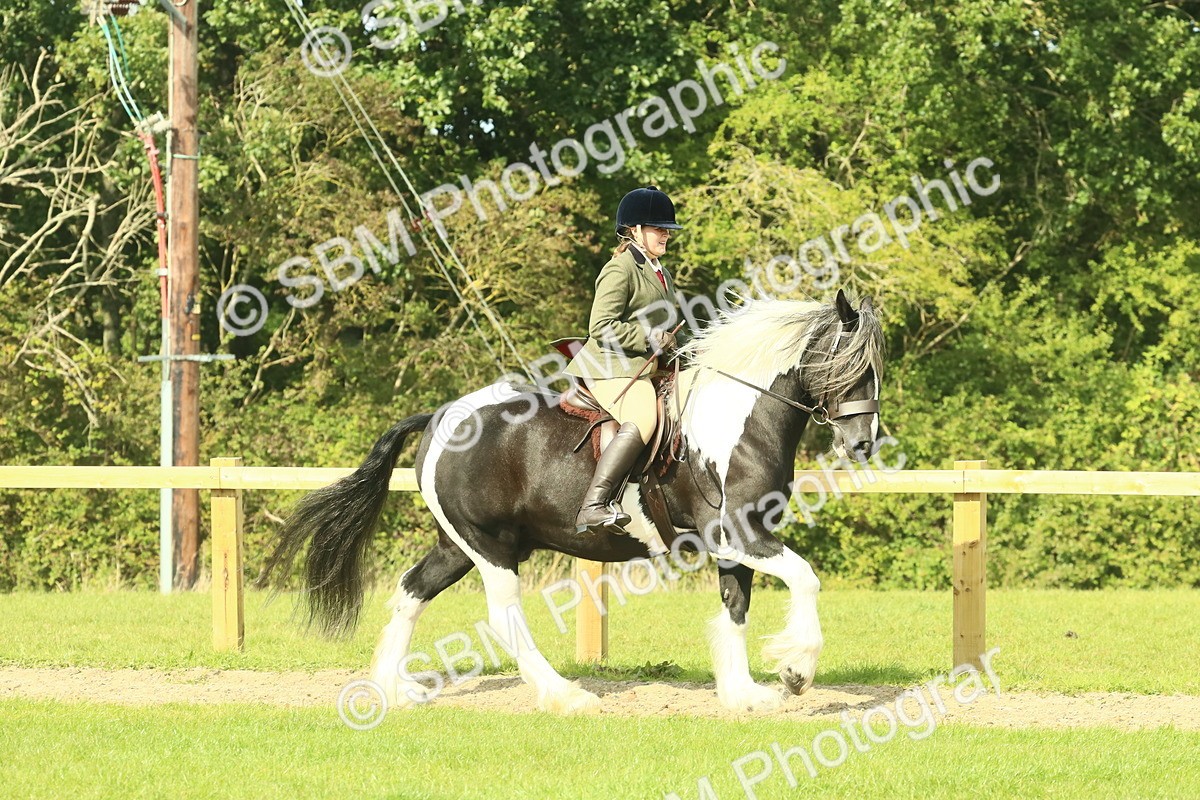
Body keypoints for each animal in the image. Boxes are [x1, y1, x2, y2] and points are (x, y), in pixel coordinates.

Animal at [259, 289, 884, 714]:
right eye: (850, 365)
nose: (863, 443)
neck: (735, 420)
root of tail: (439, 415)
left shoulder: (741, 539)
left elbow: (735, 607)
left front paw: (743, 694)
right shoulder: (737, 533)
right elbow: (805, 579)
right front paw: (796, 671)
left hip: (458, 546)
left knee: (411, 591)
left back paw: (394, 688)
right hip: (491, 548)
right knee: (502, 617)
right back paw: (565, 695)